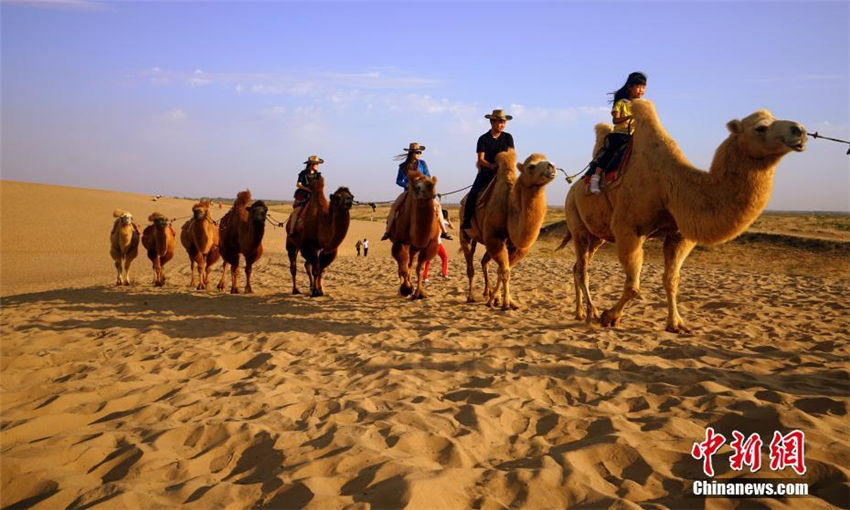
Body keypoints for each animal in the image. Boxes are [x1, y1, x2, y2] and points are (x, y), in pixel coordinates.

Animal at [390, 169, 440, 300]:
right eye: (415, 186)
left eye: (430, 184)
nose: (418, 190)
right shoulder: (400, 241)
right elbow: (403, 267)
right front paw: (406, 289)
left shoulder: (430, 244)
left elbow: (420, 269)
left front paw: (420, 293)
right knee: (403, 265)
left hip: (414, 247)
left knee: (410, 262)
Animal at [458, 149, 556, 308]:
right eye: (531, 166)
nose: (551, 166)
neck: (510, 210)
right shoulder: (494, 238)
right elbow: (504, 271)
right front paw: (505, 304)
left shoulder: (515, 246)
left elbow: (504, 269)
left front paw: (502, 300)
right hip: (464, 232)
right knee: (470, 265)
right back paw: (471, 297)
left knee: (484, 262)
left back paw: (488, 293)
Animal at [560, 99, 804, 332]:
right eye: (760, 127)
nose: (799, 130)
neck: (671, 184)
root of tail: (572, 189)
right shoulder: (628, 228)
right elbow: (633, 286)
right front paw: (609, 317)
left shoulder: (679, 234)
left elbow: (671, 279)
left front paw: (676, 324)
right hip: (577, 223)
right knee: (582, 269)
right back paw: (591, 313)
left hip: (597, 236)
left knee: (577, 267)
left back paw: (580, 312)